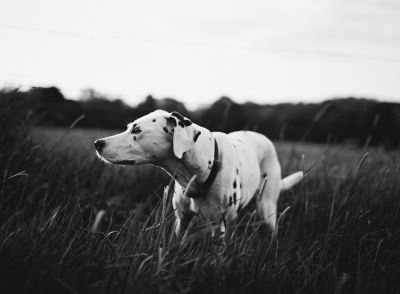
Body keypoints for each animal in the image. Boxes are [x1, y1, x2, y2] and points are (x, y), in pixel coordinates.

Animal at [94, 110, 304, 237]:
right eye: (129, 127)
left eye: (137, 130)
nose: (97, 143)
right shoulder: (182, 220)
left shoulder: (218, 227)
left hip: (266, 208)